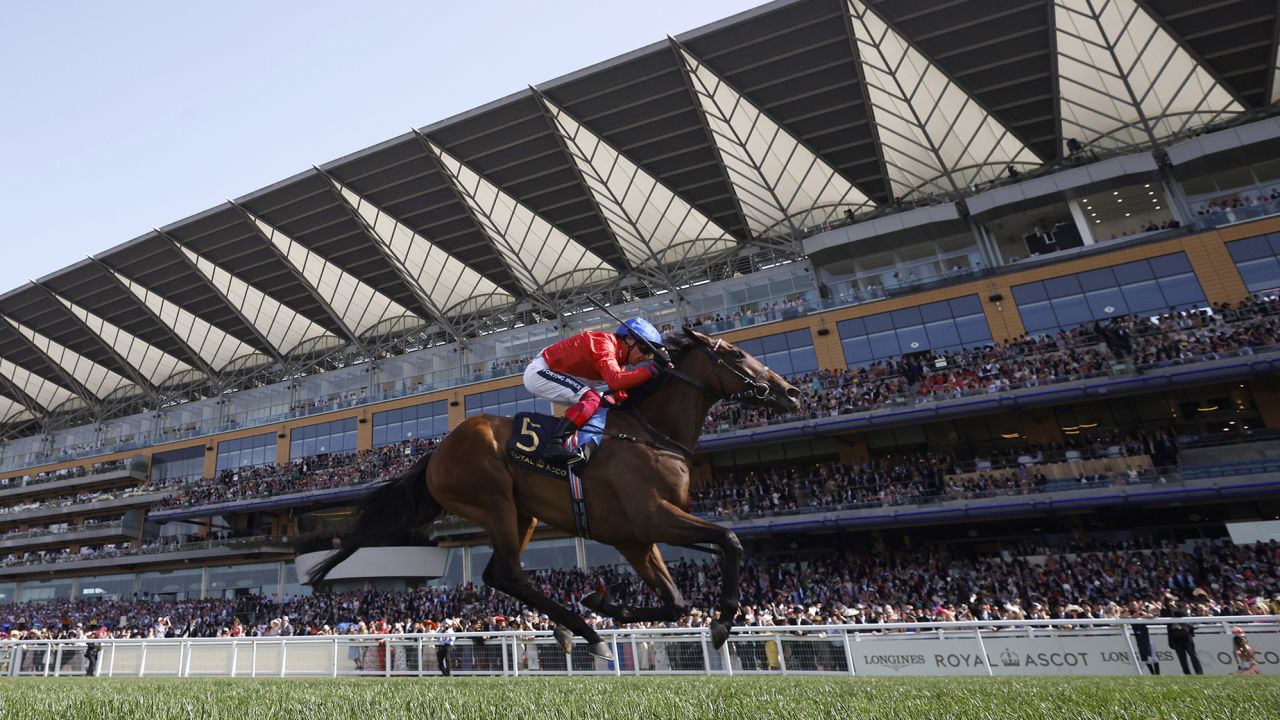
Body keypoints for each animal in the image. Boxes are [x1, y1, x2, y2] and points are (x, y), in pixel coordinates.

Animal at [305, 325, 798, 655]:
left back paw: (576, 627)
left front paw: (606, 602)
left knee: (498, 575)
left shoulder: (635, 537)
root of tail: (436, 452)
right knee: (507, 574)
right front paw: (723, 619)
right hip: (495, 501)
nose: (791, 391)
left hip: (523, 512)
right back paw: (587, 632)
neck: (651, 434)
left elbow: (675, 601)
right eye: (737, 354)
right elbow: (730, 539)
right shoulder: (653, 516)